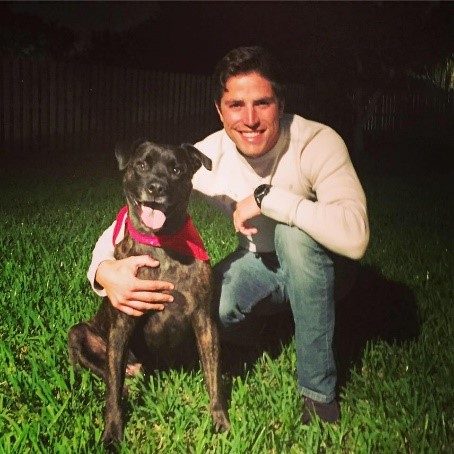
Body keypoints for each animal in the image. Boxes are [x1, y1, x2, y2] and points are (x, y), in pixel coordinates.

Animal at [68, 142, 231, 446]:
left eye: (177, 169)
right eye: (141, 165)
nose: (156, 187)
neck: (161, 244)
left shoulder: (204, 322)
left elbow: (213, 377)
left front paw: (220, 421)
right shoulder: (122, 325)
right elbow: (112, 390)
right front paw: (112, 433)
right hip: (80, 334)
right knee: (109, 373)